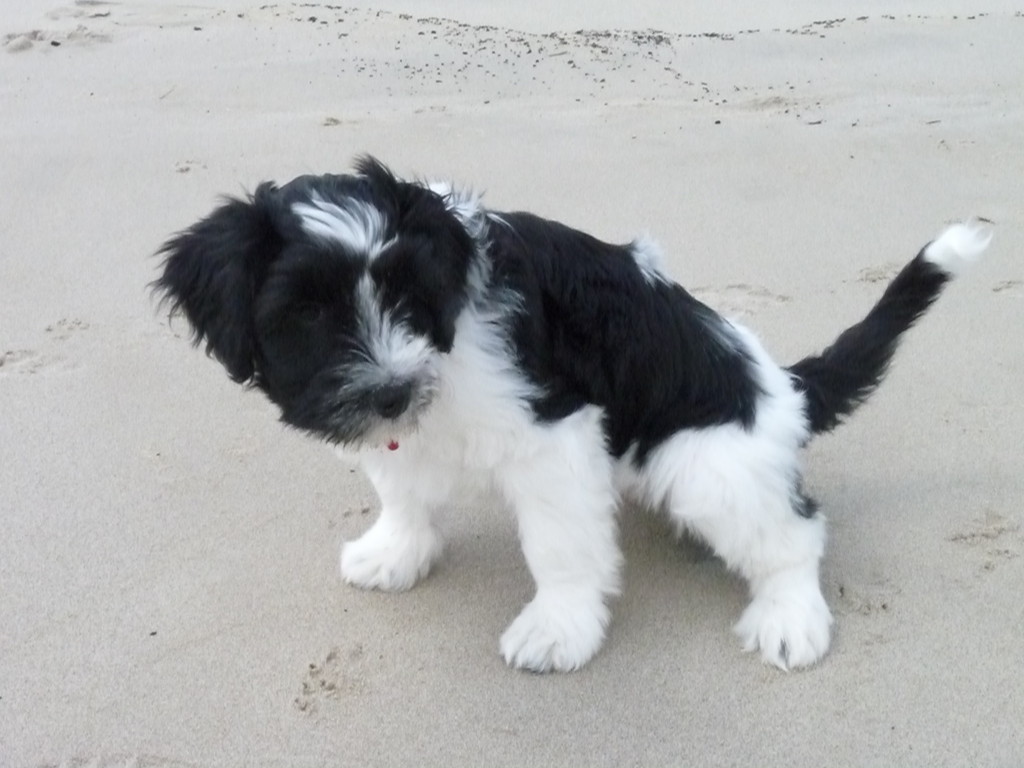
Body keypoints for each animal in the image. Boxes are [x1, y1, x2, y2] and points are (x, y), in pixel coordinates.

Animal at [153, 157, 991, 671]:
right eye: (308, 311)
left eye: (410, 296)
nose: (388, 392)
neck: (450, 333)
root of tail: (786, 388)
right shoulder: (404, 430)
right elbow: (402, 488)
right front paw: (395, 552)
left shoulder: (554, 437)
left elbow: (559, 546)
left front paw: (558, 628)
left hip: (707, 465)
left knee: (793, 533)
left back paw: (789, 615)